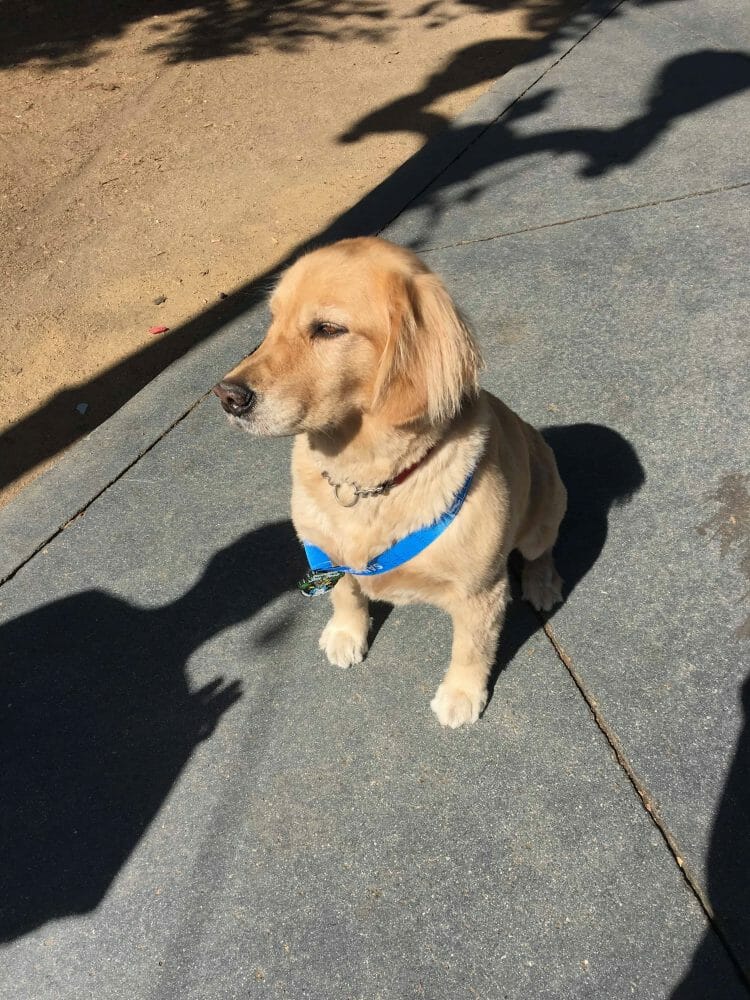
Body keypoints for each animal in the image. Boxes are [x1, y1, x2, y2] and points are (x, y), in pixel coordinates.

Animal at [214, 239, 568, 732]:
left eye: (328, 329)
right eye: (272, 321)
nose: (227, 396)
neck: (366, 482)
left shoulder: (481, 592)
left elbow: (472, 648)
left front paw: (462, 694)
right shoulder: (326, 555)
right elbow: (345, 594)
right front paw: (346, 634)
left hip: (544, 510)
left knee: (541, 552)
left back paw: (542, 584)